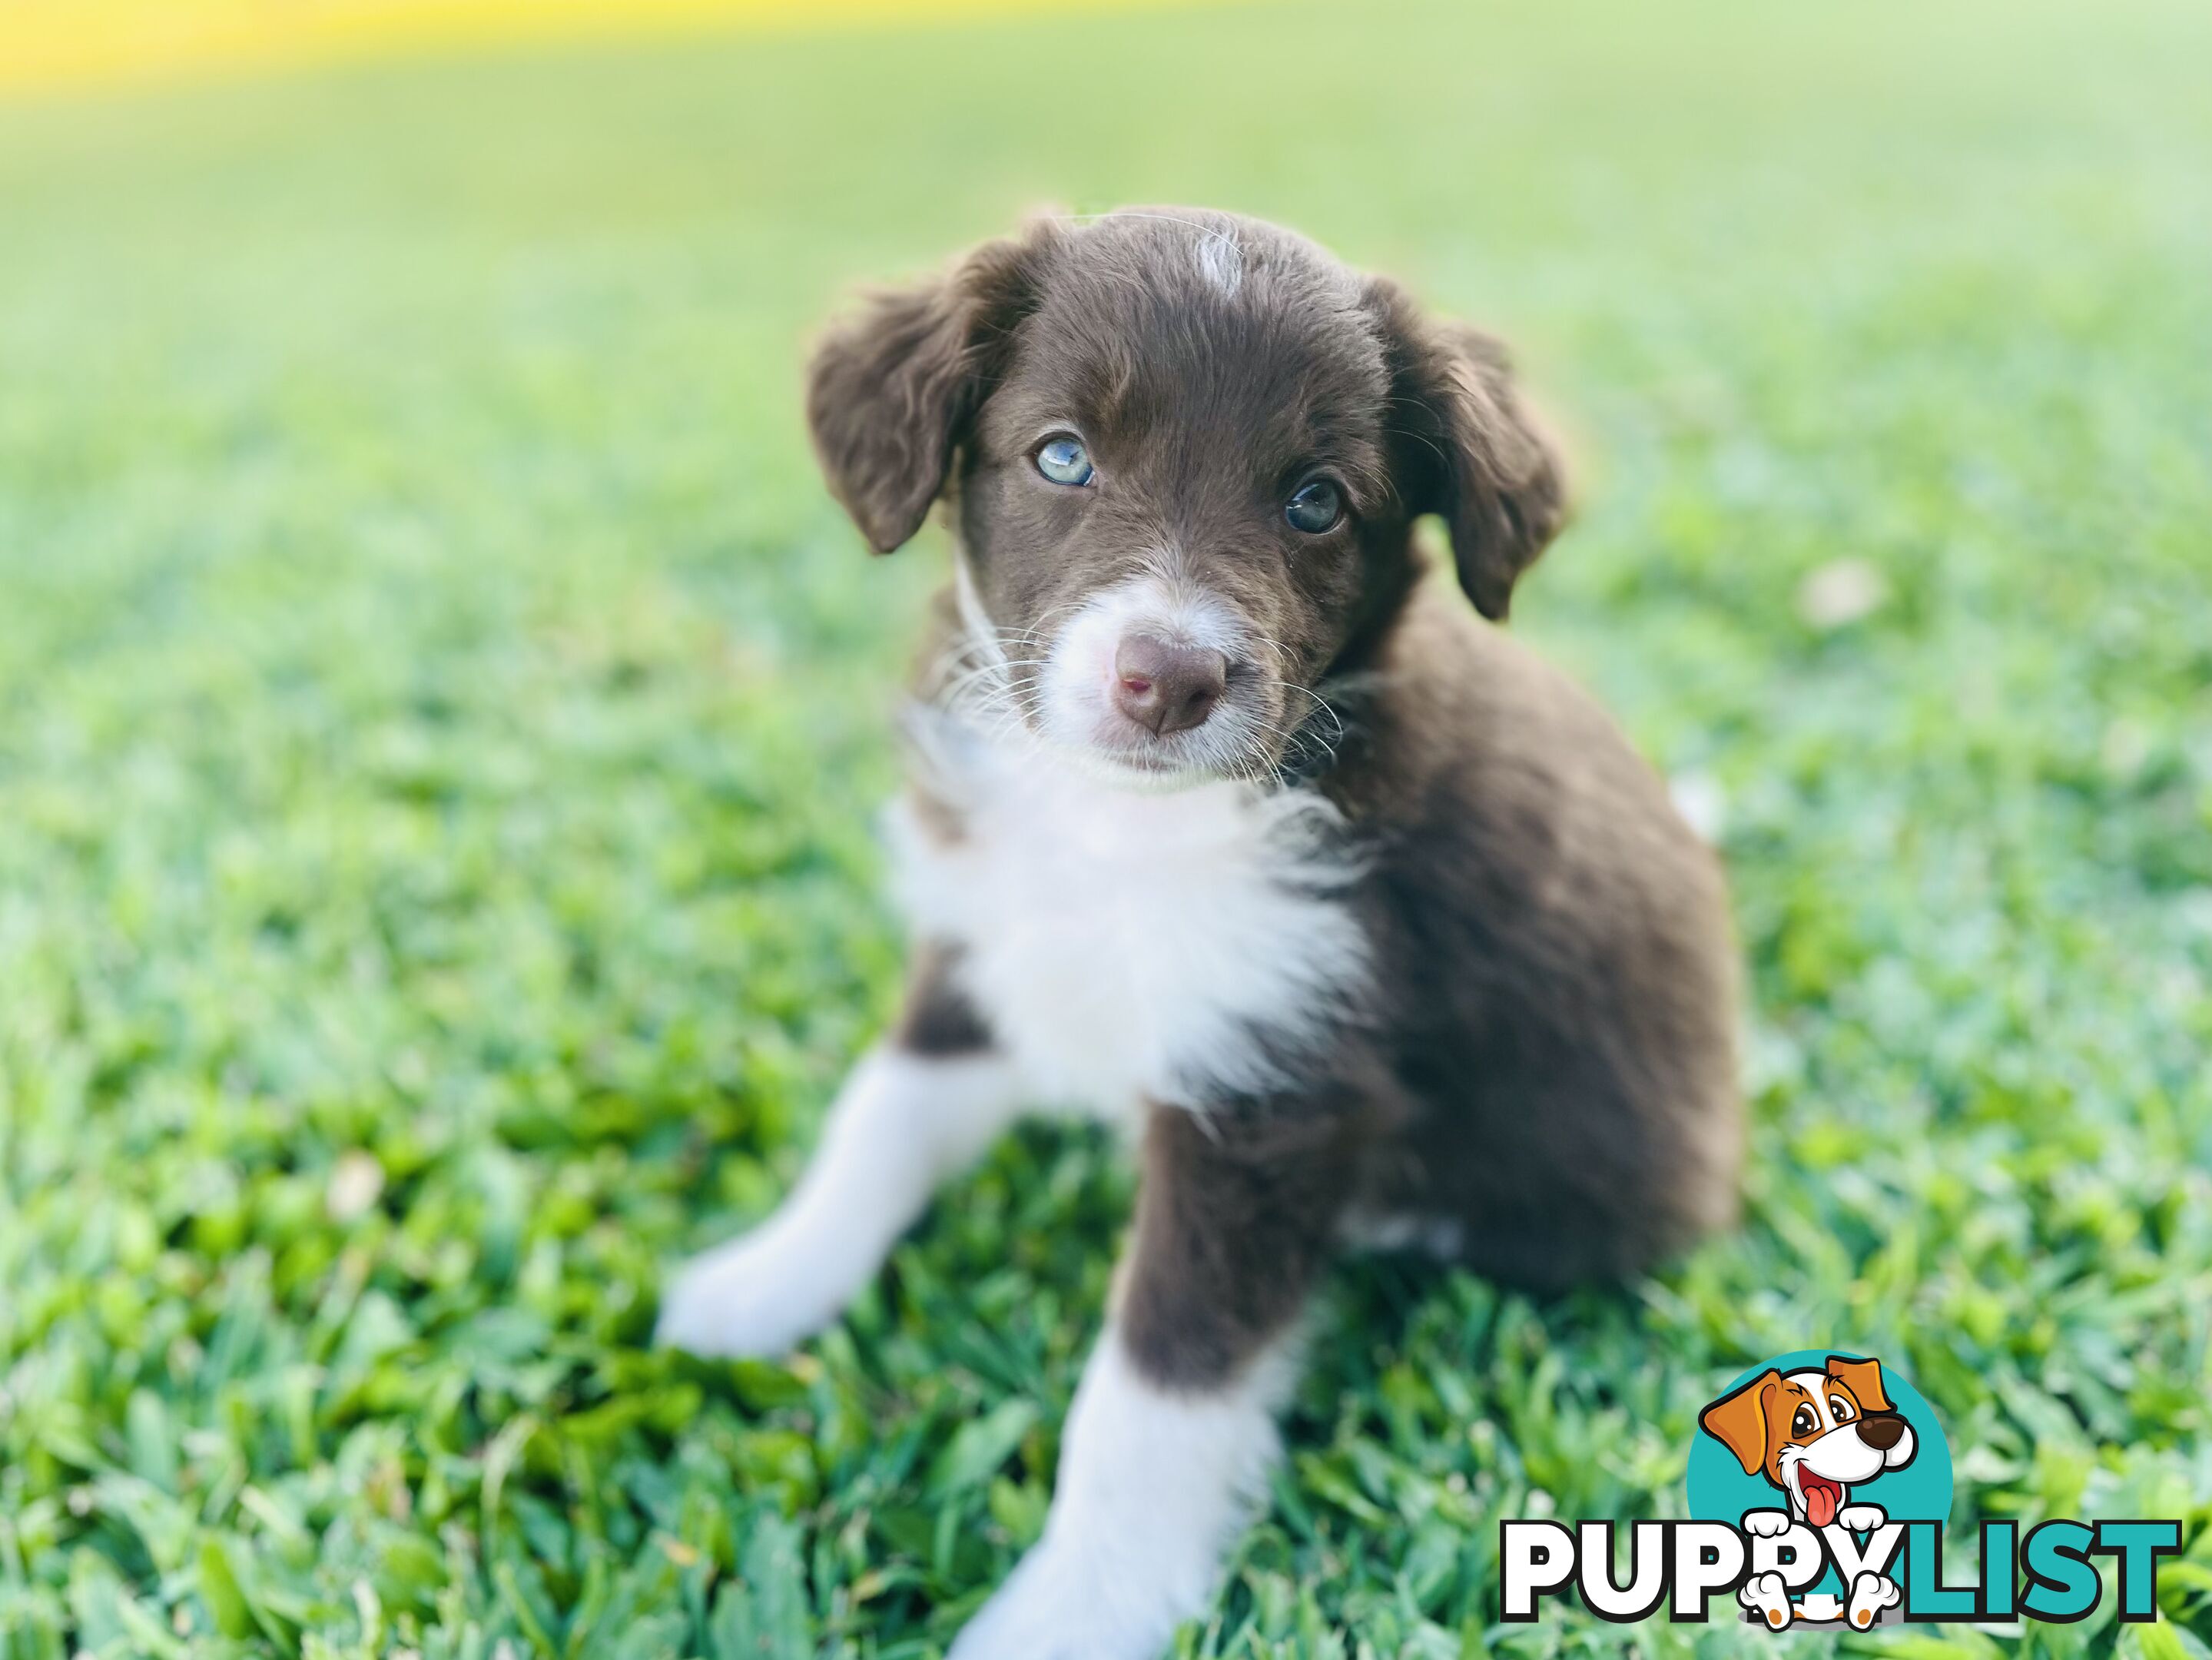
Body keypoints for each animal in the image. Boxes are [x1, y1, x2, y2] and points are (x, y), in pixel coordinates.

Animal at [655, 211, 1743, 1660]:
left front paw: (1071, 1614)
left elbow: (1155, 1387)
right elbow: (878, 1116)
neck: (1121, 828)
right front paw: (766, 1277)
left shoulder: (1272, 1095)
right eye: (1061, 455)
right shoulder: (984, 937)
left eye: (1315, 502)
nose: (1166, 680)